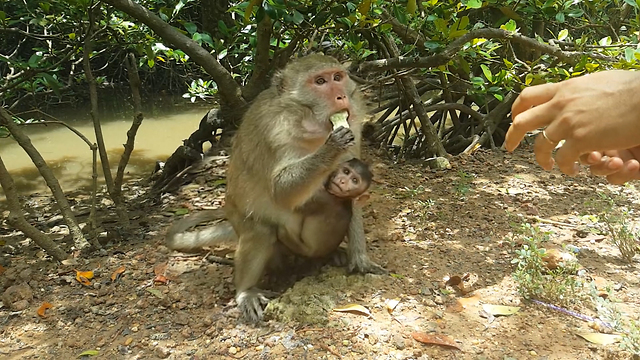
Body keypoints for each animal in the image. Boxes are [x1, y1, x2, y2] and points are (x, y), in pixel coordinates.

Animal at [170, 53, 382, 320]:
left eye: (337, 77)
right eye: (320, 81)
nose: (341, 96)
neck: (310, 123)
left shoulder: (354, 127)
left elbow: (353, 196)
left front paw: (360, 259)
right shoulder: (277, 128)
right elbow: (281, 191)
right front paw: (331, 147)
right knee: (261, 230)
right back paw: (246, 290)